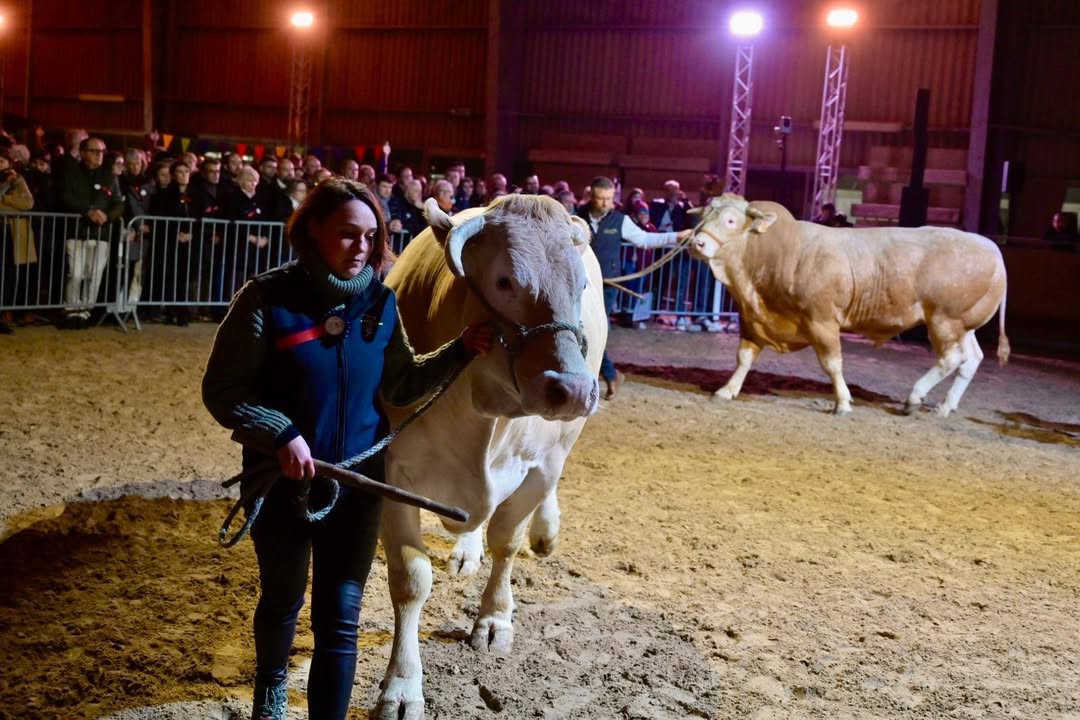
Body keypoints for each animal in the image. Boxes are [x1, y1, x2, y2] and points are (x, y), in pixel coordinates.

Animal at [373, 194, 607, 719]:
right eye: (503, 280)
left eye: (580, 284)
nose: (573, 390)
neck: (485, 407)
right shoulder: (393, 472)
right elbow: (411, 578)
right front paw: (401, 686)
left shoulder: (540, 468)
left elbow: (507, 541)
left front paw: (496, 618)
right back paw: (465, 549)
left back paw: (545, 531)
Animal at [687, 194, 1009, 416]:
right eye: (704, 216)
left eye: (731, 221)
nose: (696, 243)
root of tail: (992, 249)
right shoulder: (753, 319)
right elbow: (744, 358)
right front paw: (727, 390)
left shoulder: (822, 319)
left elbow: (832, 363)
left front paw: (842, 402)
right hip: (963, 324)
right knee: (972, 358)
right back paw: (945, 406)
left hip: (944, 319)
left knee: (951, 358)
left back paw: (915, 398)